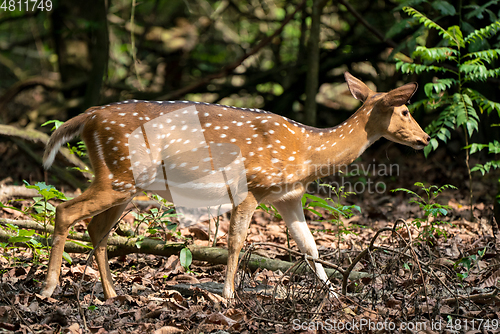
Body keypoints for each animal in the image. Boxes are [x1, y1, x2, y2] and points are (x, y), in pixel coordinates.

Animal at [41, 72, 430, 298]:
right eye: (406, 111)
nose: (425, 138)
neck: (307, 152)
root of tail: (89, 117)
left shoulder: (287, 196)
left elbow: (310, 247)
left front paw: (334, 295)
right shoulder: (252, 187)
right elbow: (236, 242)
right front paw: (228, 295)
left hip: (125, 182)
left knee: (96, 228)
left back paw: (112, 293)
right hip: (118, 175)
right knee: (65, 210)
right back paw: (49, 288)